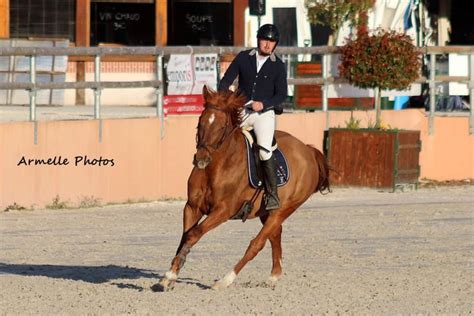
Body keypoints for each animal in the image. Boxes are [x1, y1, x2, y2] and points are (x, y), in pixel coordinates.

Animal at [155, 86, 330, 292]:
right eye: (200, 122)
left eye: (222, 127)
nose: (201, 159)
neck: (215, 167)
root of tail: (308, 150)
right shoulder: (192, 207)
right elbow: (184, 237)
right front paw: (170, 275)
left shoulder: (223, 211)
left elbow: (193, 234)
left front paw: (170, 274)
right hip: (266, 212)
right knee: (275, 235)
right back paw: (273, 276)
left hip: (285, 209)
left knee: (257, 243)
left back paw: (224, 280)